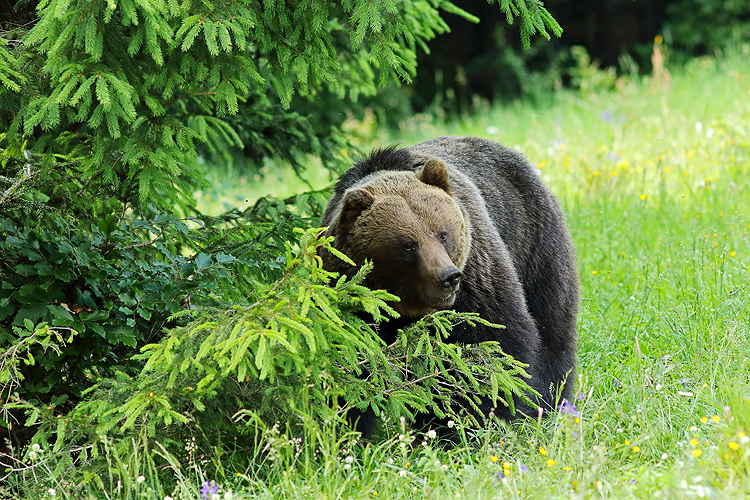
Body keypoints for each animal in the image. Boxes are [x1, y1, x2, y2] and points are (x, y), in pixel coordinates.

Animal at [322, 136, 580, 430]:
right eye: (408, 245)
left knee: (551, 327)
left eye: (442, 233)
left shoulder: (475, 281)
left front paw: (466, 421)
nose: (448, 276)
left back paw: (548, 400)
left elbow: (491, 345)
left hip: (535, 244)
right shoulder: (352, 302)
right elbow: (352, 364)